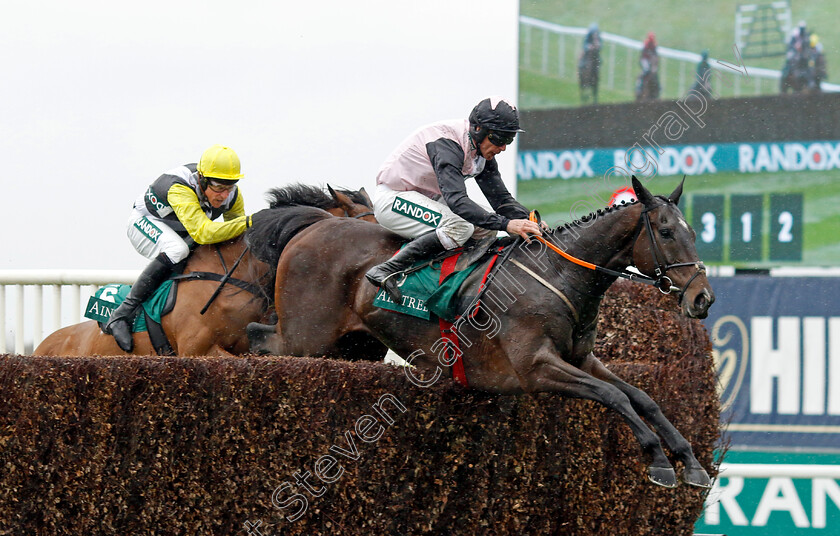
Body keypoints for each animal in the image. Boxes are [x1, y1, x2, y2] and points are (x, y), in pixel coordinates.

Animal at [244, 178, 716, 488]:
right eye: (667, 232)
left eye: (694, 231)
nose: (702, 298)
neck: (557, 275)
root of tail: (314, 225)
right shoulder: (534, 368)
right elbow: (615, 396)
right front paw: (659, 461)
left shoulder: (581, 358)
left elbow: (643, 397)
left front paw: (689, 461)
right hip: (305, 339)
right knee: (256, 337)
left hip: (352, 347)